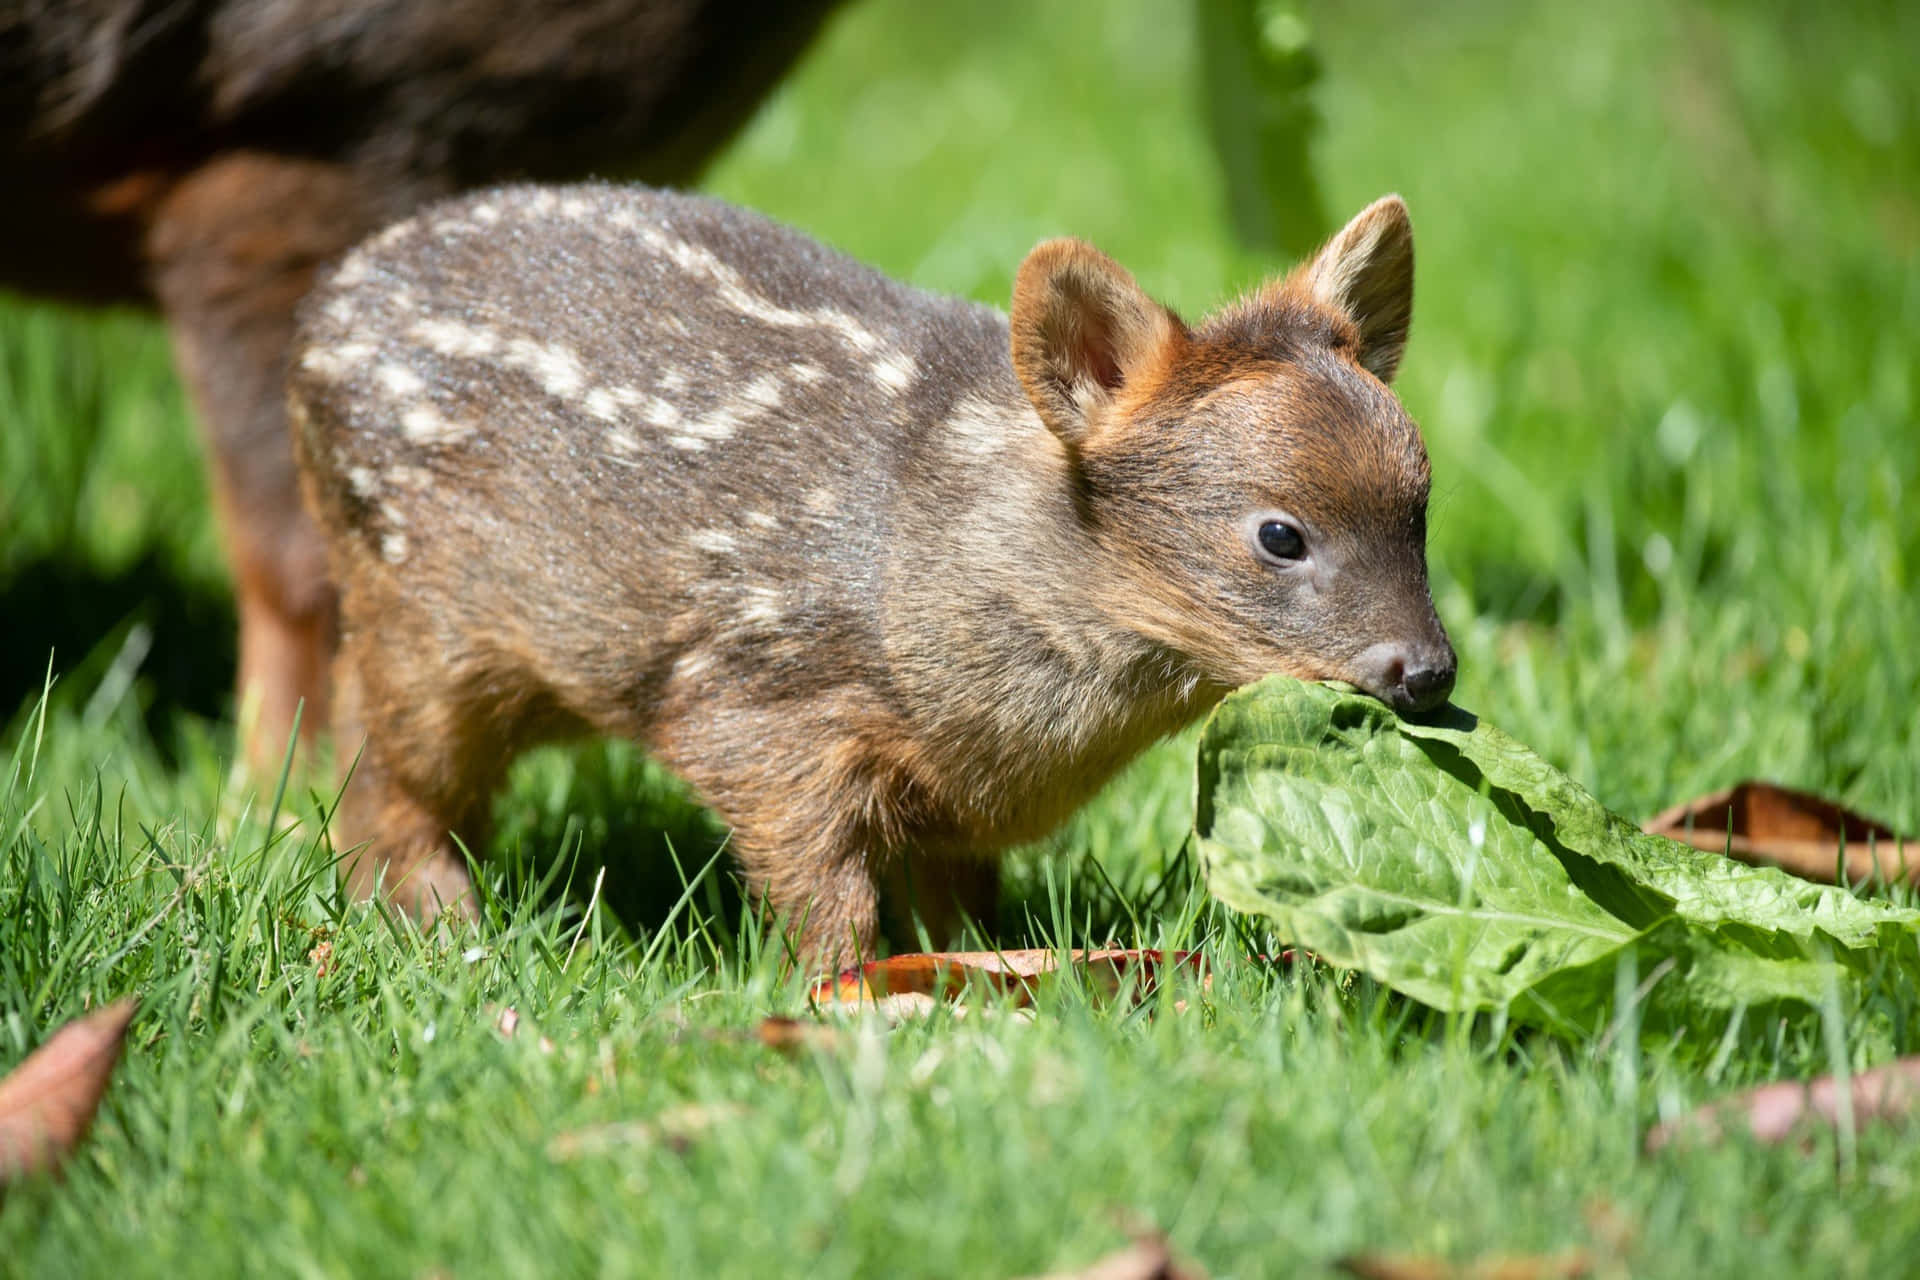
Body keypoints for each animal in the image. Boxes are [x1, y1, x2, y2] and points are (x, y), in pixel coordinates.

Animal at [288, 188, 1451, 971]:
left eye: (1423, 503)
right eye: (1279, 534)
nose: (1427, 670)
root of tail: (315, 325)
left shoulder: (956, 798)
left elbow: (961, 904)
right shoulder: (756, 707)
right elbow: (824, 894)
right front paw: (842, 996)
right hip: (419, 614)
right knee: (376, 752)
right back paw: (441, 923)